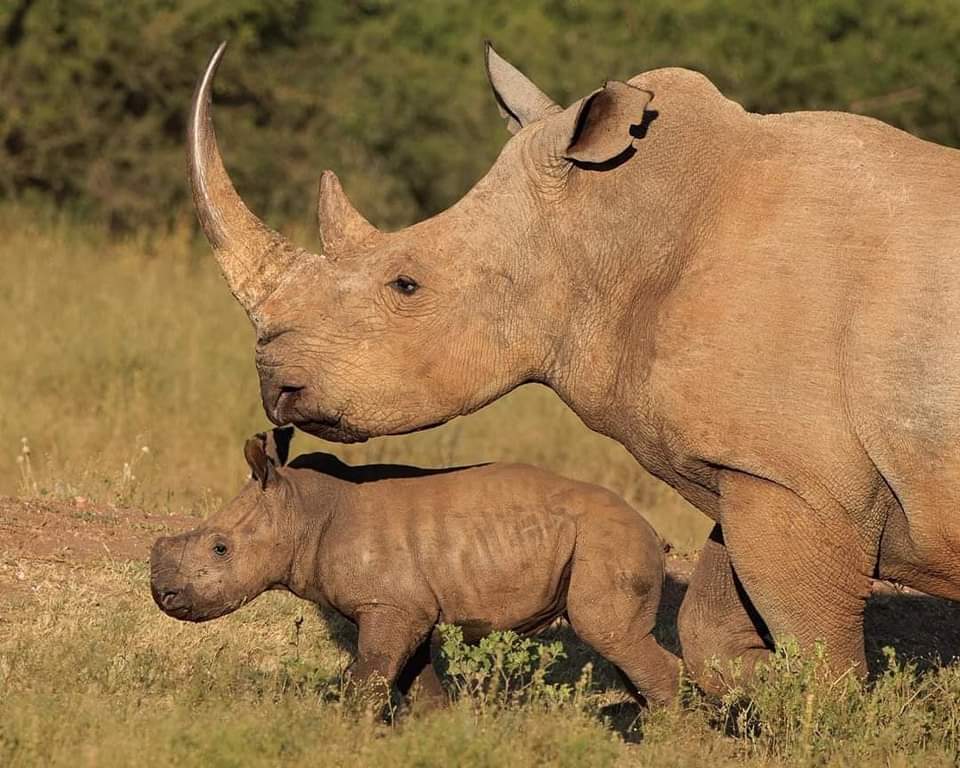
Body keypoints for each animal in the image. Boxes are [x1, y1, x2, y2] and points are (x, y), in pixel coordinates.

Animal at [150, 428, 679, 706]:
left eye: (220, 549)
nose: (164, 596)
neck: (301, 507)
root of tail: (652, 528)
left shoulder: (390, 605)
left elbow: (370, 677)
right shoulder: (411, 607)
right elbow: (416, 684)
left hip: (609, 541)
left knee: (609, 635)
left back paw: (667, 736)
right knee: (621, 647)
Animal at [187, 42, 960, 688]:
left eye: (405, 285)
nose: (276, 388)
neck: (613, 229)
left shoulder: (802, 481)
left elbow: (821, 658)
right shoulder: (755, 466)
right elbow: (711, 627)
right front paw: (750, 692)